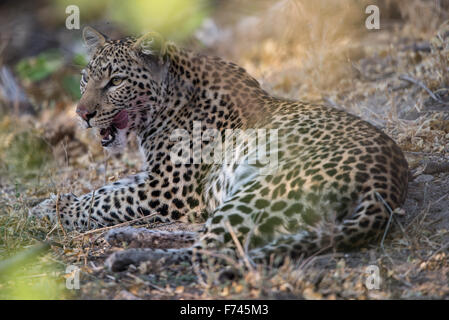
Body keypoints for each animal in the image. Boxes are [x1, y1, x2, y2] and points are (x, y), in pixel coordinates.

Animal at [29, 27, 408, 272]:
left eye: (116, 82)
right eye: (85, 78)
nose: (82, 114)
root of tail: (387, 184)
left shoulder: (168, 189)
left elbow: (107, 200)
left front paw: (56, 212)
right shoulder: (154, 176)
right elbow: (106, 189)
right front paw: (52, 202)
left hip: (259, 190)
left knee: (213, 253)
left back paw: (127, 258)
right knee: (210, 237)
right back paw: (128, 237)